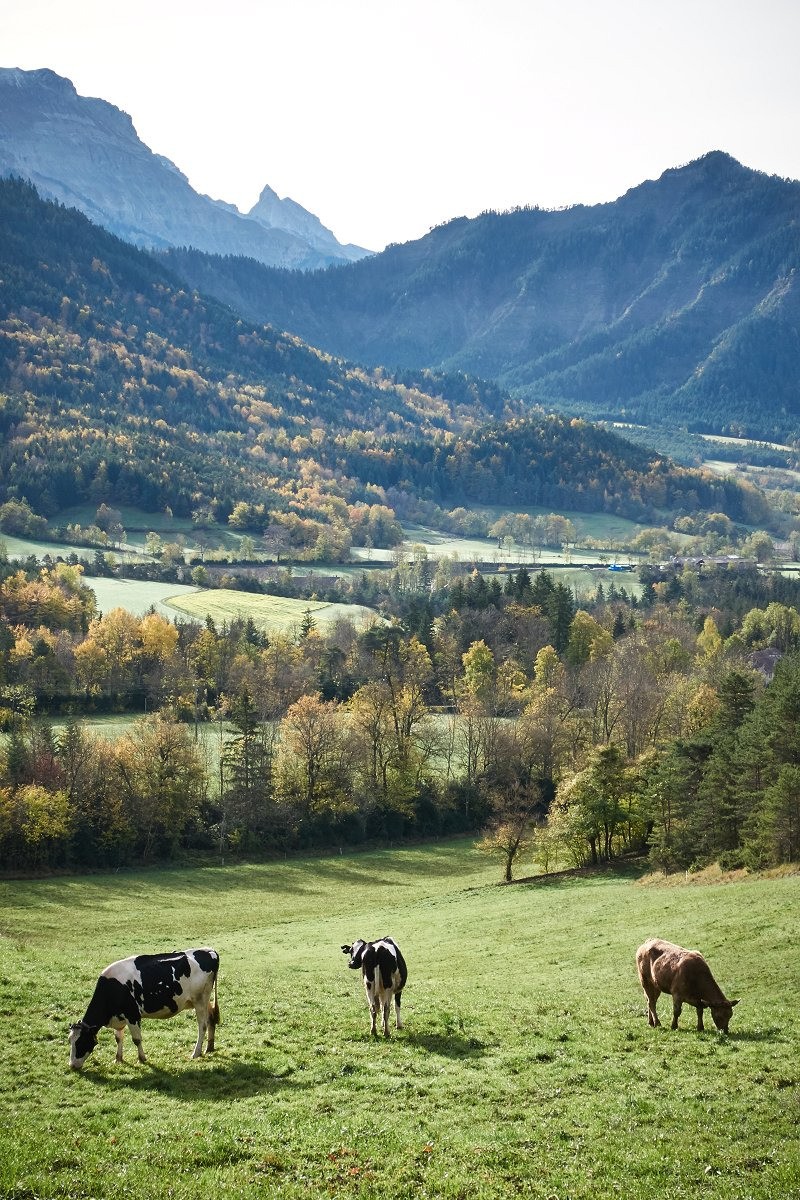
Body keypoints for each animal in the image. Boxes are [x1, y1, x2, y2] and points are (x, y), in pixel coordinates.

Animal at [67, 945, 219, 1070]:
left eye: (81, 1042)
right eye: (70, 1041)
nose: (72, 1065)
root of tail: (208, 950)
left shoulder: (132, 1015)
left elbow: (136, 1039)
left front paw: (142, 1059)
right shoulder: (119, 1017)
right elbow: (118, 1038)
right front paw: (118, 1059)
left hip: (200, 1000)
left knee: (202, 1025)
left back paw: (196, 1052)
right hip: (204, 999)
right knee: (211, 1019)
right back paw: (209, 1048)